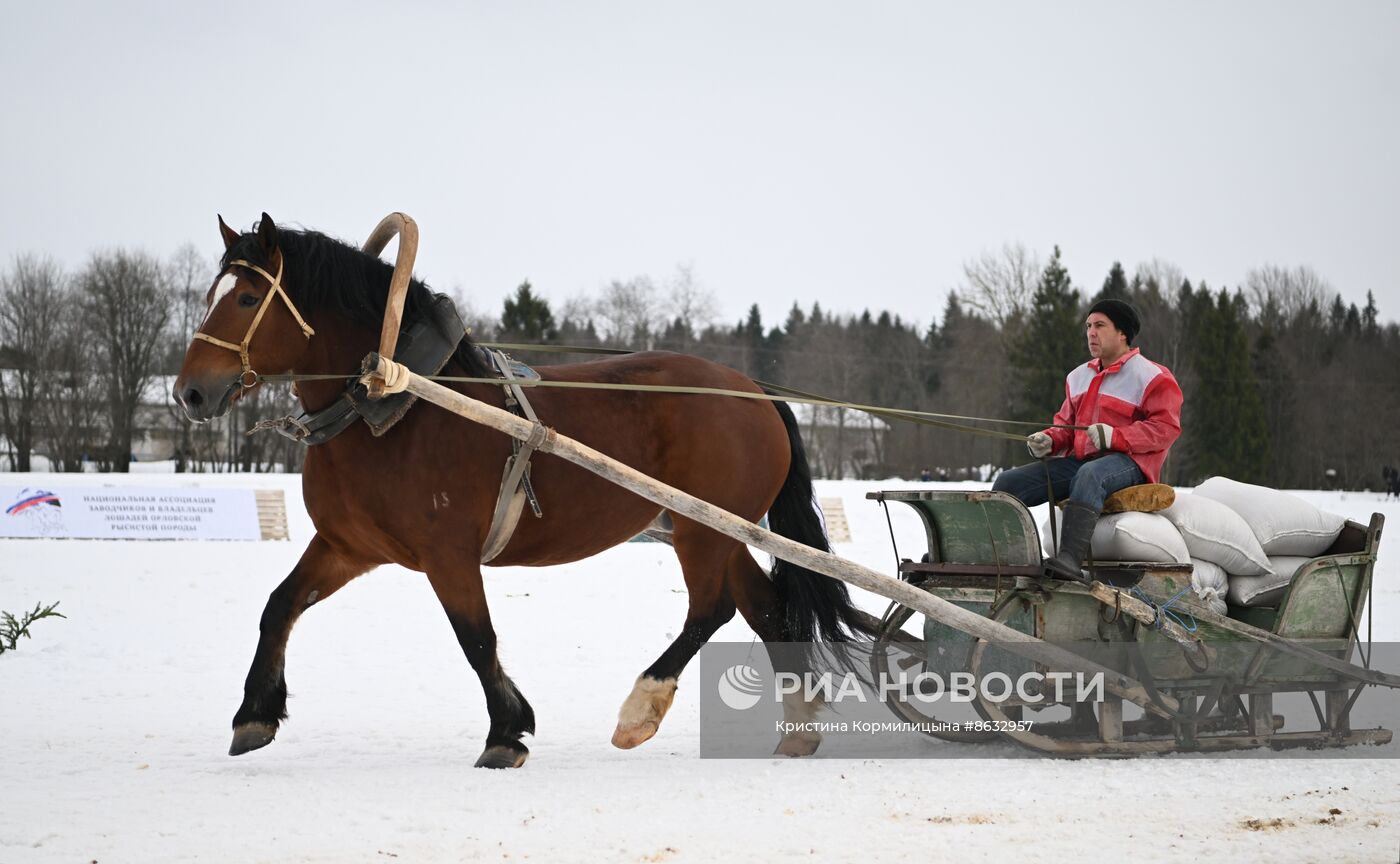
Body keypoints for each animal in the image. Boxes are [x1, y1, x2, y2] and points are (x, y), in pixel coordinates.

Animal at [175, 215, 862, 767]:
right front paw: (254, 715)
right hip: (717, 529)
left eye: (246, 298)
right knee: (768, 611)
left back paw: (641, 709)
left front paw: (506, 733)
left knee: (712, 609)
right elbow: (279, 606)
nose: (191, 393)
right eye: (213, 295)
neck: (397, 404)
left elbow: (476, 638)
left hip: (701, 530)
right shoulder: (349, 547)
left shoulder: (448, 554)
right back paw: (798, 730)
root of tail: (752, 390)